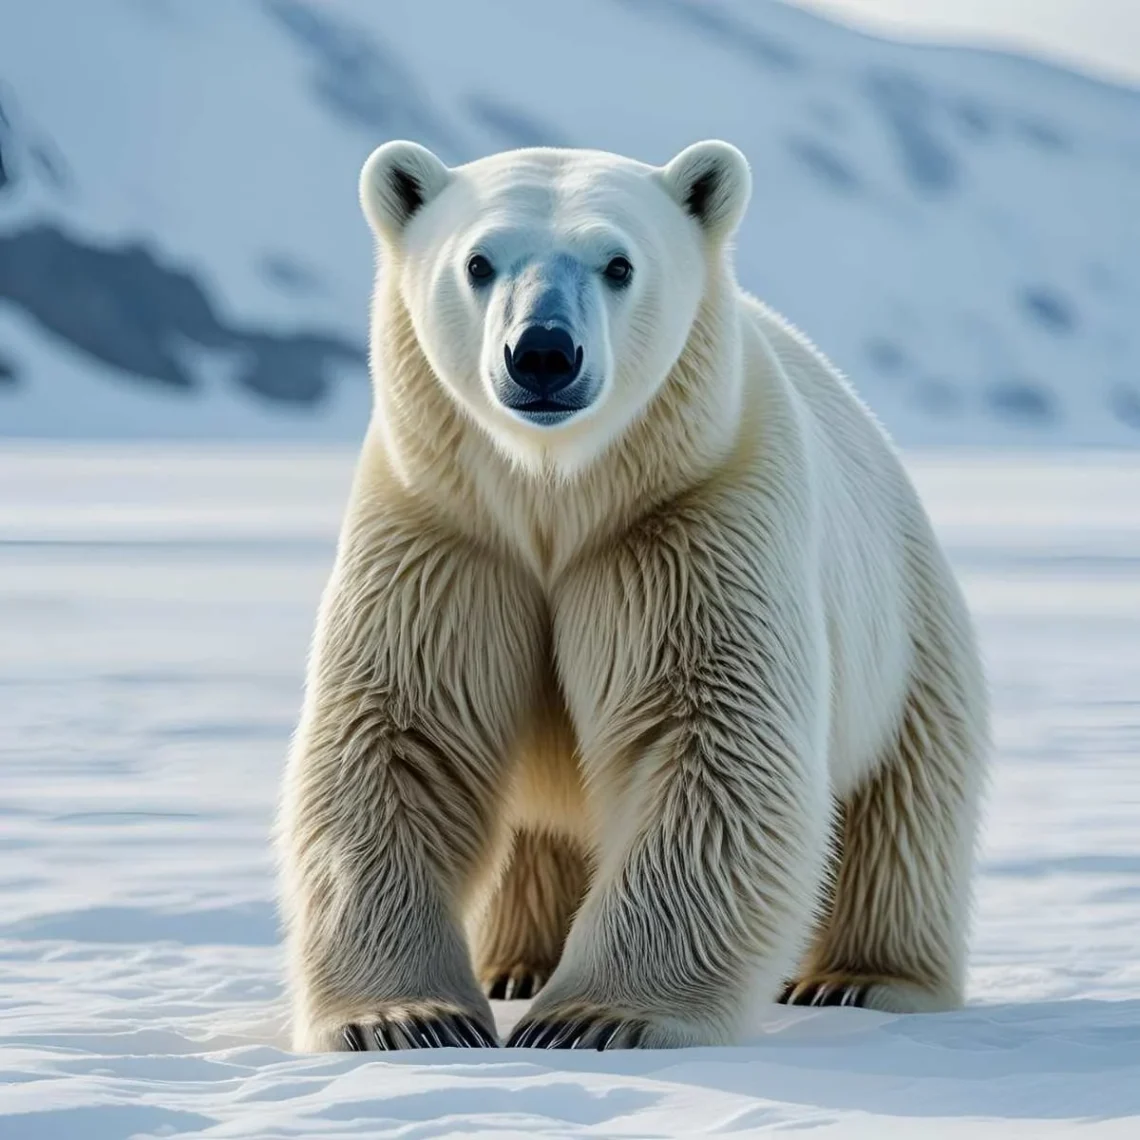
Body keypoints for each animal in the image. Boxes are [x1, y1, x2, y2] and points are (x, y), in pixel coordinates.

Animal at [277, 139, 989, 1053]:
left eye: (618, 263)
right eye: (478, 261)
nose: (543, 352)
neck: (557, 497)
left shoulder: (691, 520)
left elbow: (707, 737)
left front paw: (594, 1017)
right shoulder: (444, 533)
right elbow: (401, 735)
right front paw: (405, 1019)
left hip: (907, 633)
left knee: (902, 813)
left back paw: (858, 978)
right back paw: (517, 963)